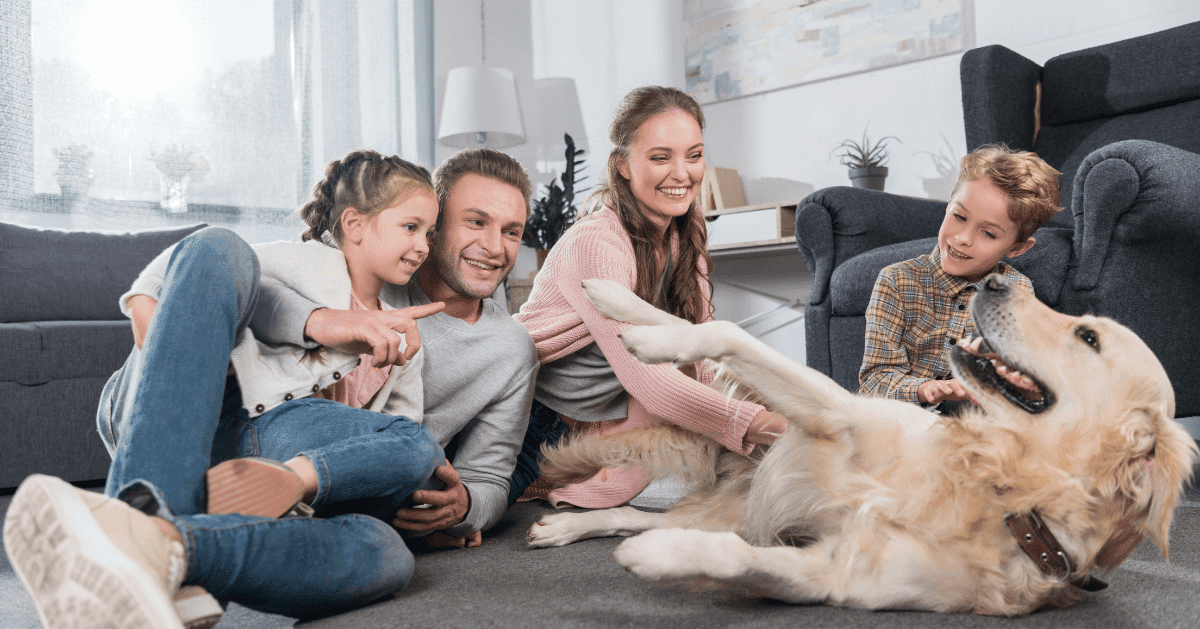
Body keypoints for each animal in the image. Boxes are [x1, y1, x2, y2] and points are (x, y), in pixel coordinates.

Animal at [530, 274, 1195, 614]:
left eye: (1088, 337)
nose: (995, 278)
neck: (992, 481)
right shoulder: (839, 412)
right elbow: (721, 330)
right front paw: (644, 329)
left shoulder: (840, 575)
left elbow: (736, 558)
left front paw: (659, 557)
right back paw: (612, 302)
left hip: (729, 515)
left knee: (642, 519)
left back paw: (581, 527)